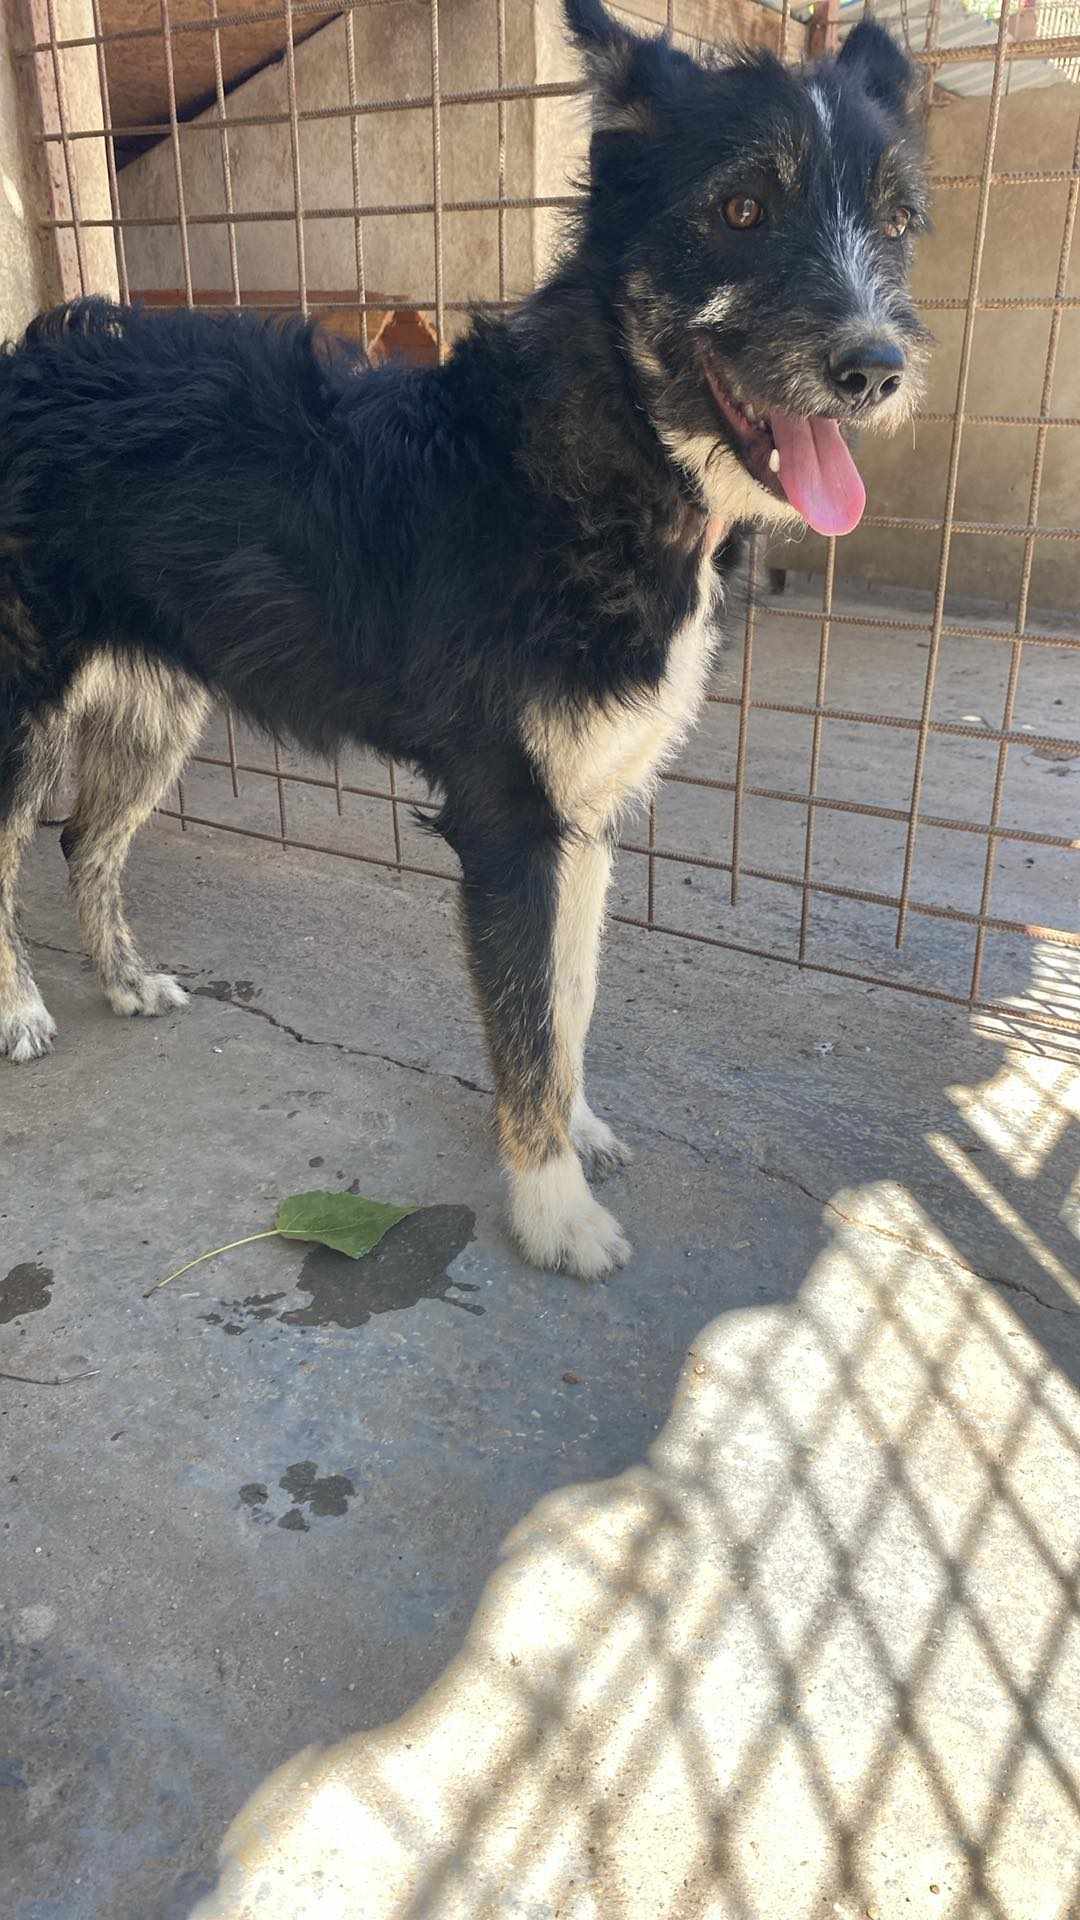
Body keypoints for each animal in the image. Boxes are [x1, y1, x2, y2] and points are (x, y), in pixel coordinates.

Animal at [0, 1, 928, 1278]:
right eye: (741, 208)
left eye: (895, 224)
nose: (877, 369)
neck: (596, 468)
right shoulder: (504, 819)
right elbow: (526, 1017)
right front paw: (551, 1208)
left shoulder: (582, 813)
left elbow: (567, 999)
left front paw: (574, 1131)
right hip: (17, 712)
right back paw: (18, 1007)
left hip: (159, 707)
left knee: (87, 839)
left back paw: (125, 979)